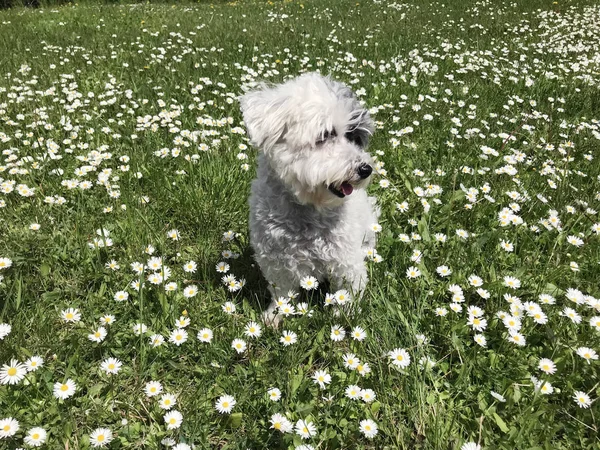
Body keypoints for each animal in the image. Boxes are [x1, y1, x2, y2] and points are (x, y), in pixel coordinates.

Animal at [240, 73, 378, 324]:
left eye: (354, 138)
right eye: (326, 135)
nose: (365, 169)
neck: (309, 209)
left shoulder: (345, 259)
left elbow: (348, 289)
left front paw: (344, 315)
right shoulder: (276, 262)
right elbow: (282, 293)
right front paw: (274, 316)